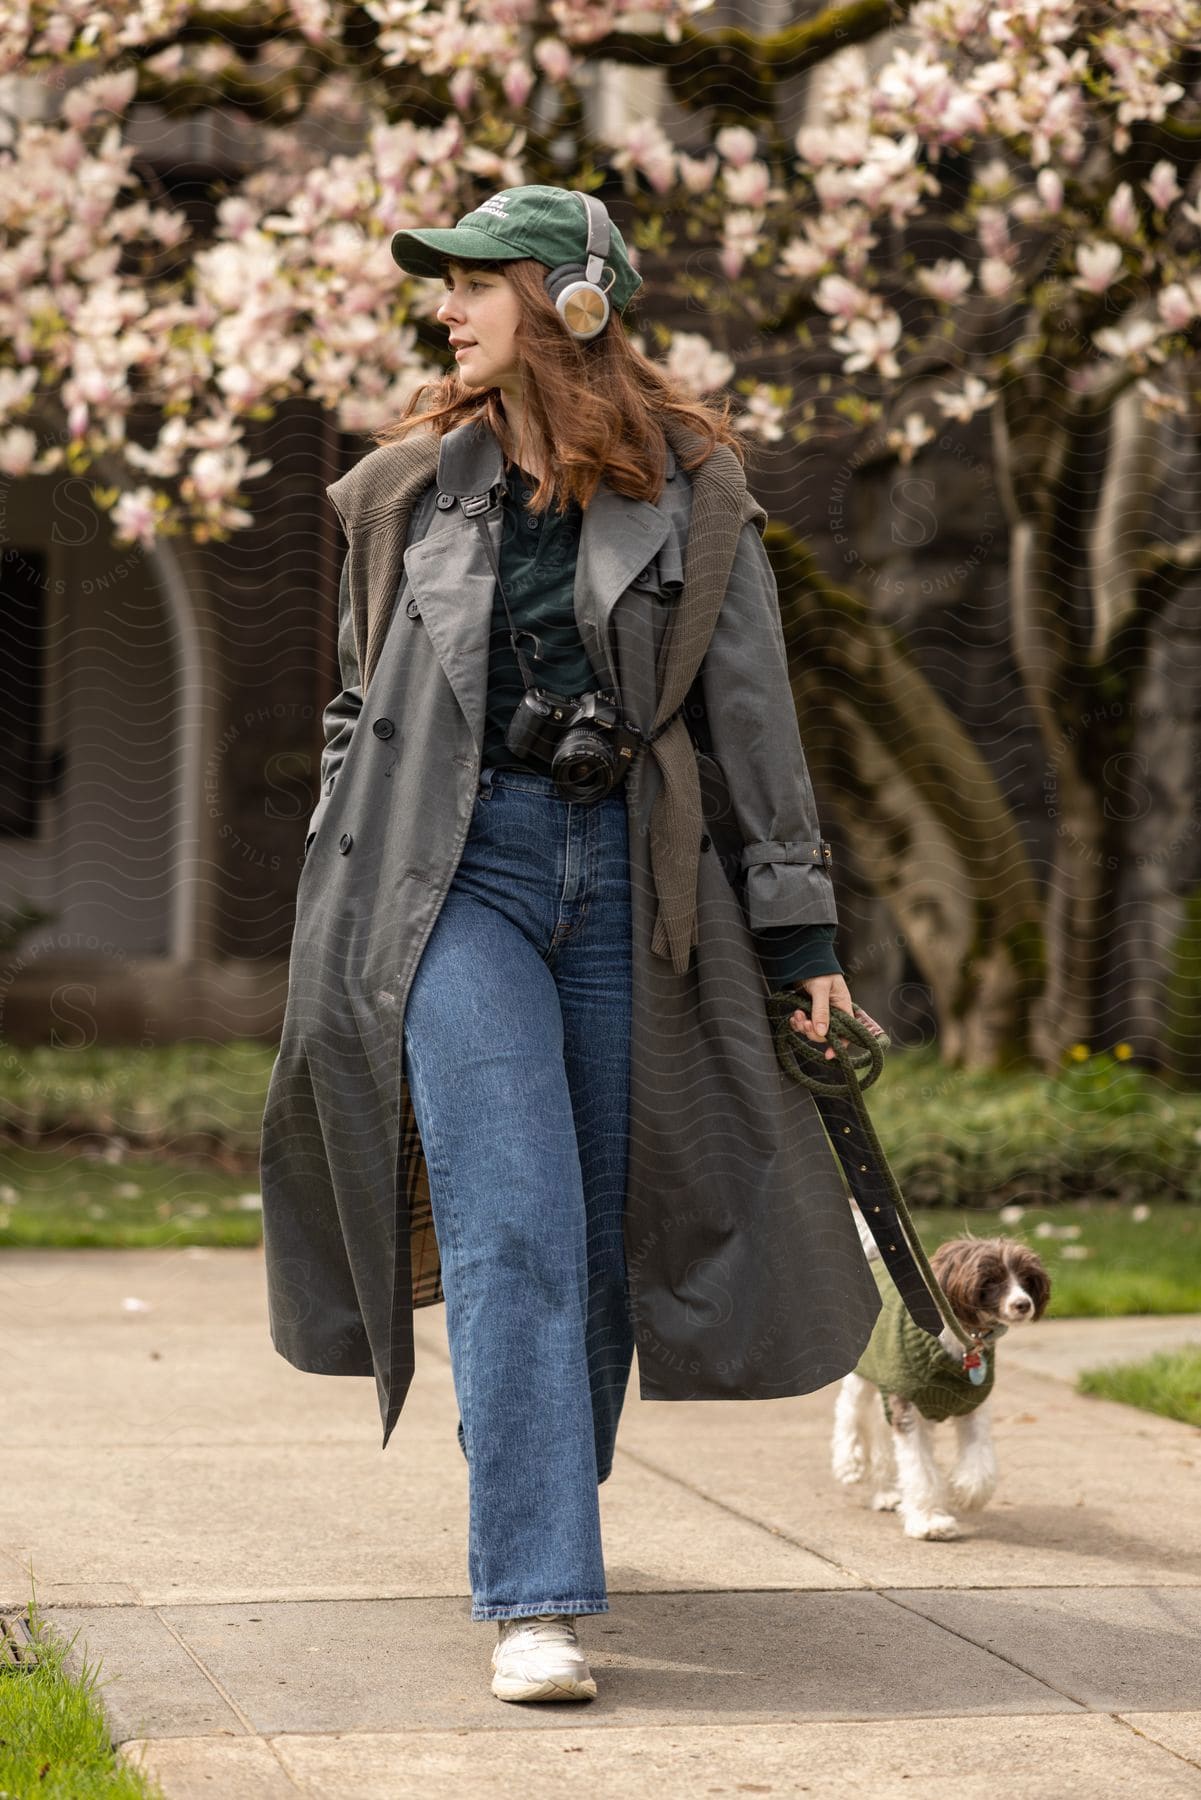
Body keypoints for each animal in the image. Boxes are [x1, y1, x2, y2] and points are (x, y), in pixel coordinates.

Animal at [831, 1202, 1044, 1540]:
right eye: (990, 1280)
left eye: (1026, 1278)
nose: (1023, 1304)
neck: (963, 1344)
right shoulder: (908, 1408)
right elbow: (920, 1471)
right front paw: (928, 1521)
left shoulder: (972, 1406)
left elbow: (980, 1459)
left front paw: (967, 1492)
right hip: (865, 1376)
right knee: (849, 1411)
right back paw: (848, 1463)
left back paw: (885, 1493)